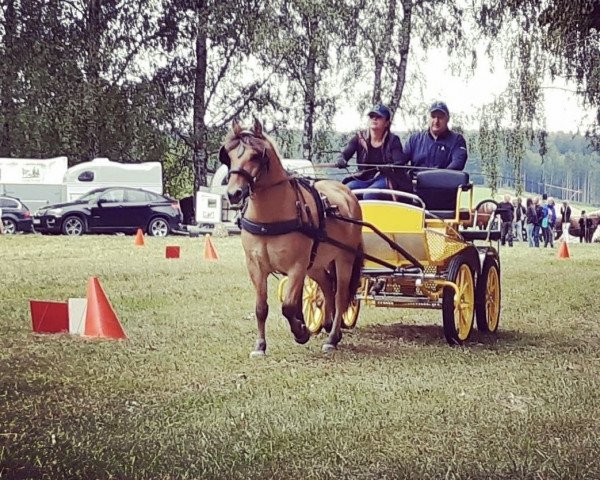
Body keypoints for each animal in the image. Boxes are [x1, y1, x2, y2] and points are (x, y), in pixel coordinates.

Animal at [219, 118, 364, 354]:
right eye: (228, 156)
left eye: (256, 155)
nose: (234, 194)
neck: (270, 218)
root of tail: (348, 195)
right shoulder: (255, 266)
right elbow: (261, 307)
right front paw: (260, 345)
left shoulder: (296, 266)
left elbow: (288, 306)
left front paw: (301, 332)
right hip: (316, 262)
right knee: (327, 285)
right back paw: (327, 323)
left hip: (344, 258)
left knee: (340, 295)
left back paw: (332, 338)